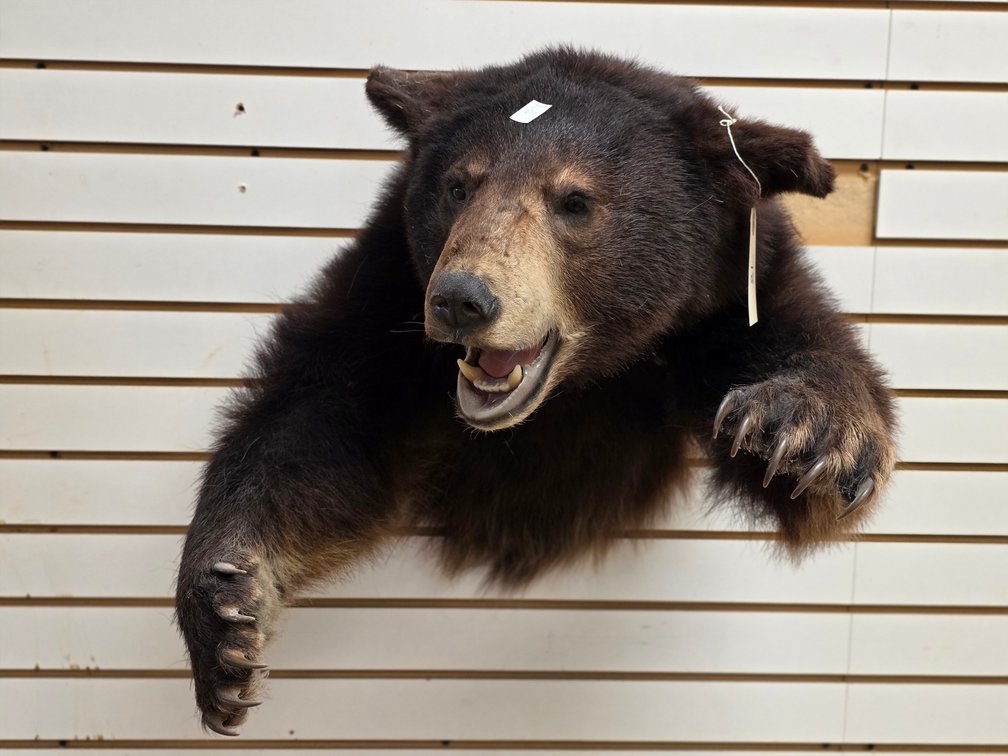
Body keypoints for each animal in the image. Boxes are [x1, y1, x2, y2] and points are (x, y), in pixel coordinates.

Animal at [175, 48, 897, 736]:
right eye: (458, 185)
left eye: (574, 200)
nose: (461, 300)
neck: (581, 388)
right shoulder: (389, 290)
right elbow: (316, 425)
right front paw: (228, 616)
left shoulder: (730, 285)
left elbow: (808, 381)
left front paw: (802, 435)